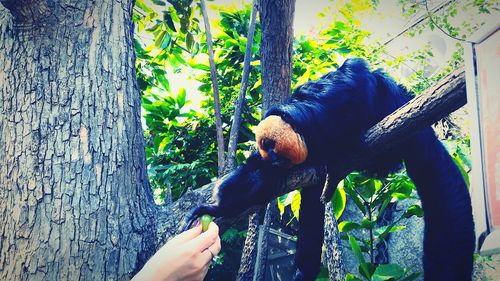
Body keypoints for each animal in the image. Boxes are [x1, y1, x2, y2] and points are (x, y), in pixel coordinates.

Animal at [186, 58, 474, 278]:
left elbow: (356, 74)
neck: (307, 132)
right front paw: (214, 208)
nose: (274, 159)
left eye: (273, 145)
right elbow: (259, 175)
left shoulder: (331, 105)